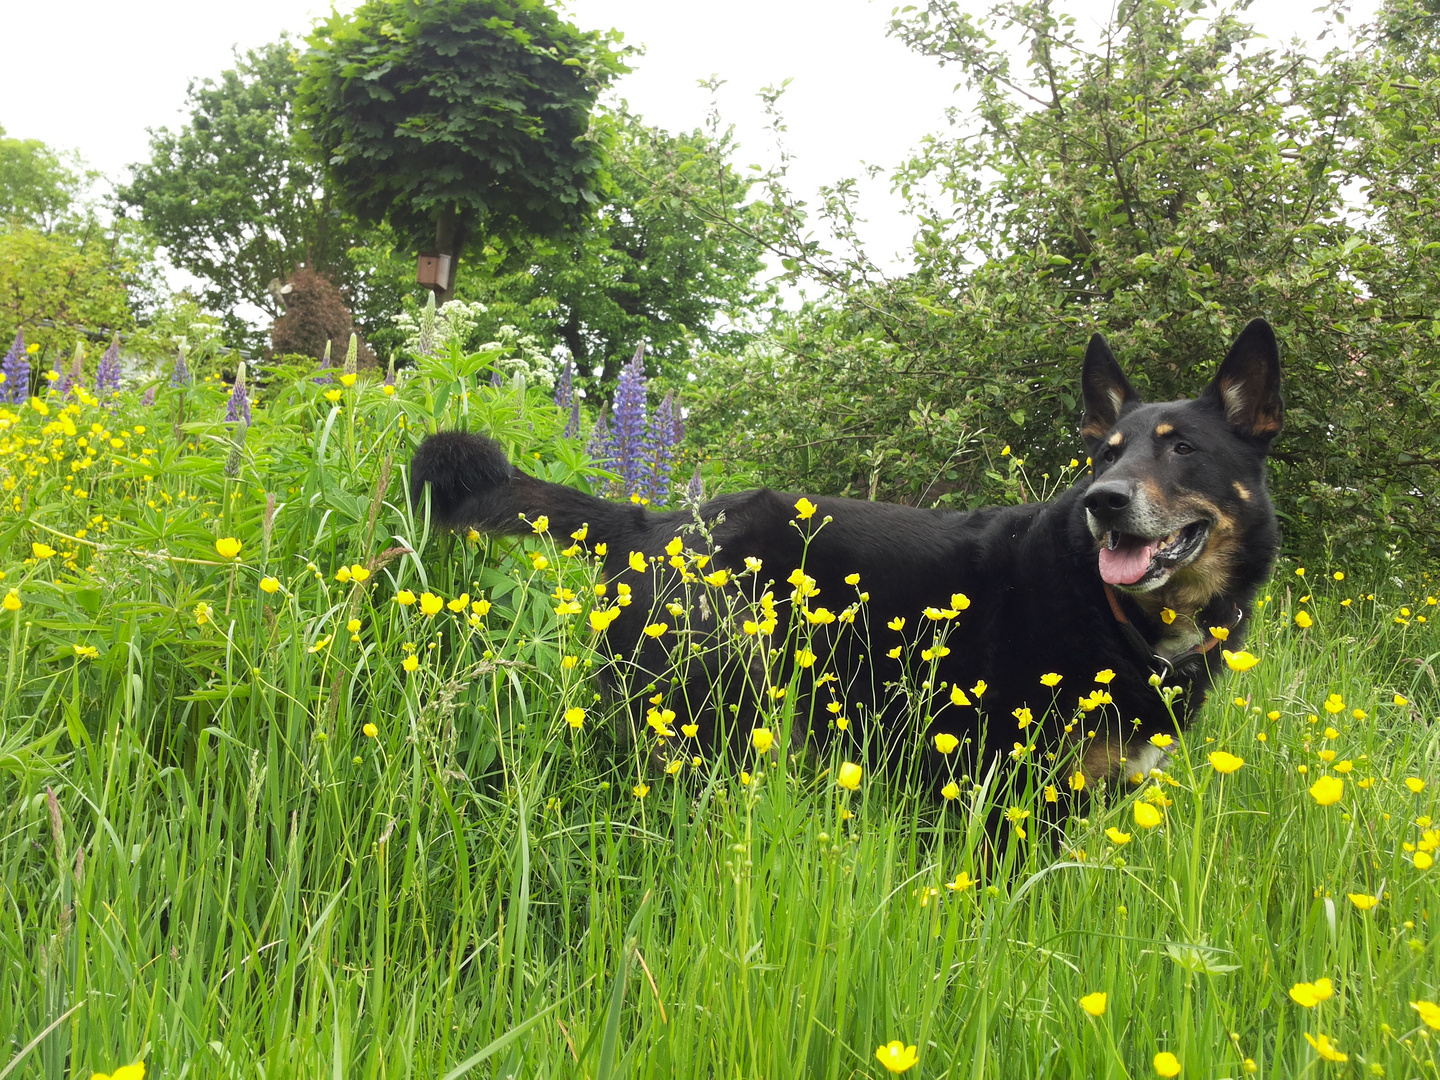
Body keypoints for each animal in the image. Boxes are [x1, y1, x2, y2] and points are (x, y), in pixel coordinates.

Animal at [408, 319, 1284, 789]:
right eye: (1106, 454)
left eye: (1181, 449)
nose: (1104, 502)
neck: (1122, 616)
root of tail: (648, 520)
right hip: (705, 717)